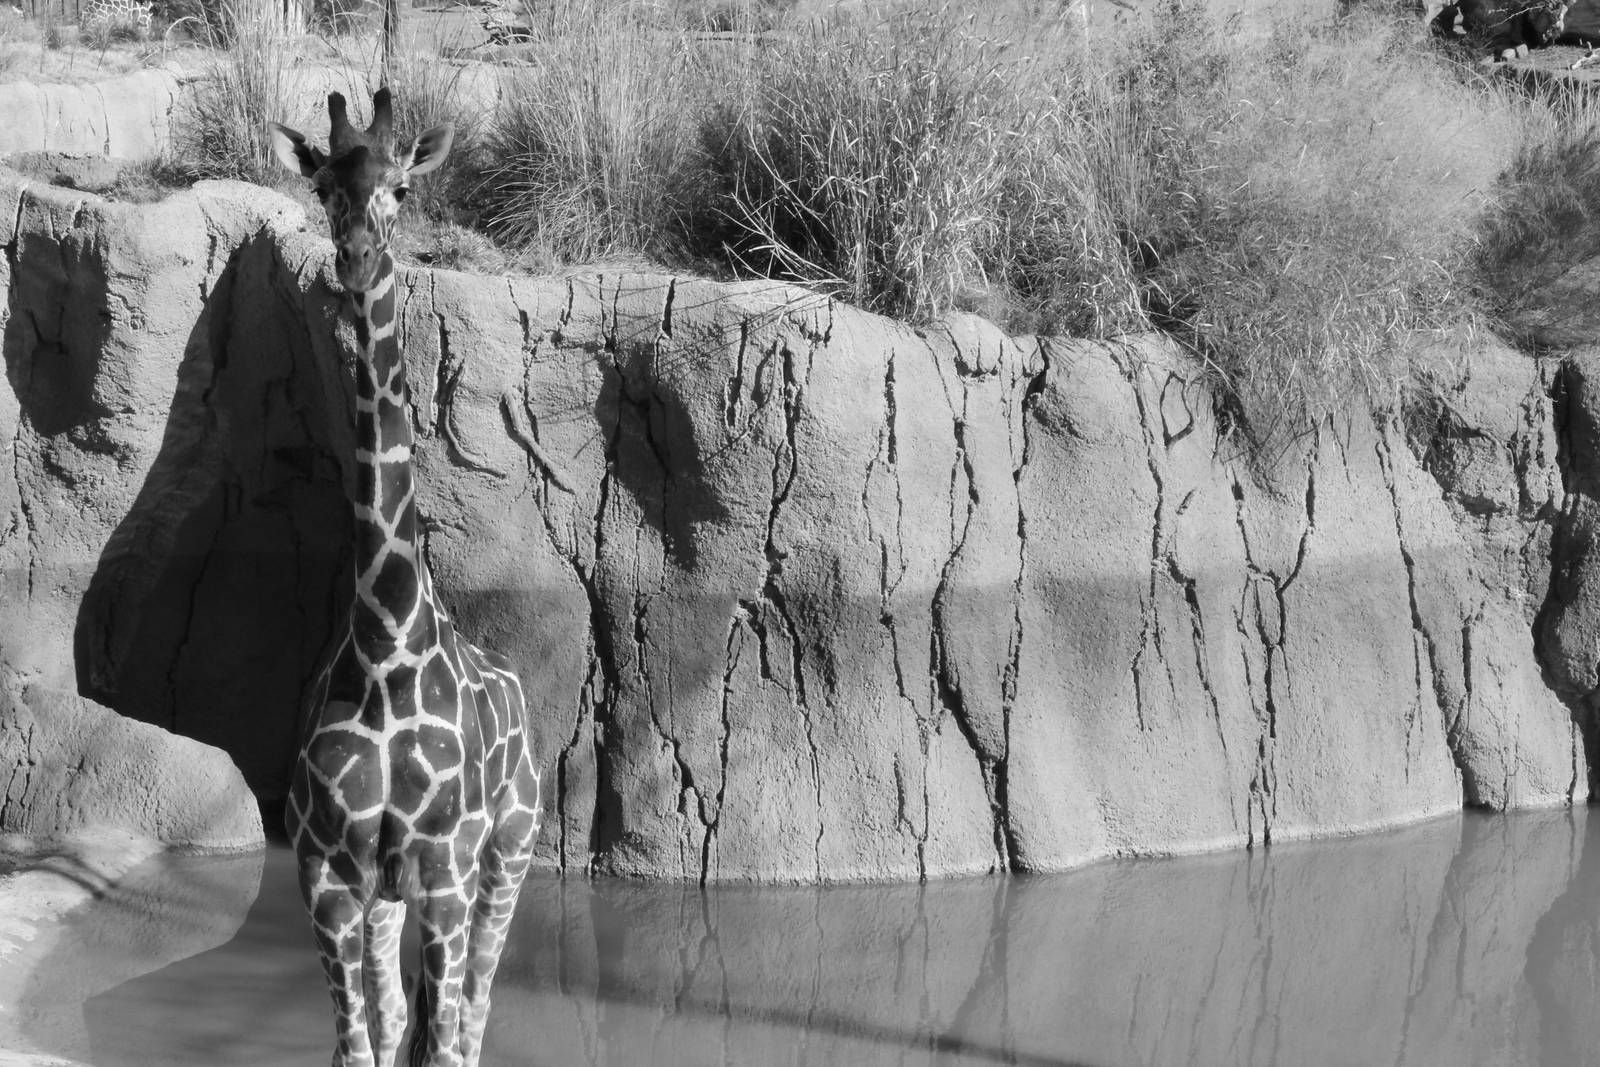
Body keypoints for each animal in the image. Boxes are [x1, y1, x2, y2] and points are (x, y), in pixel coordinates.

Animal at [268, 89, 543, 1067]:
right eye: (324, 185)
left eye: (401, 186)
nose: (354, 261)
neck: (387, 639)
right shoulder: (328, 874)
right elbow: (364, 1044)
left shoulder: (445, 870)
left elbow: (440, 1040)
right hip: (392, 897)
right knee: (407, 1021)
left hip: (510, 851)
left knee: (472, 1015)